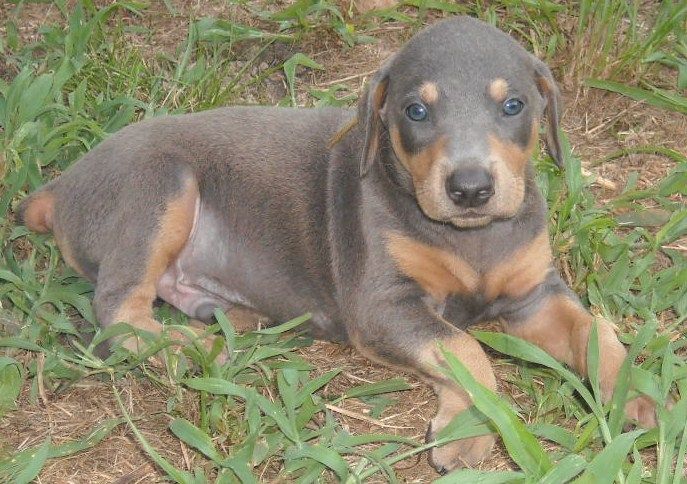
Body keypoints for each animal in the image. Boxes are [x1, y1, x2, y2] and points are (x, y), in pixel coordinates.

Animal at [20, 16, 656, 472]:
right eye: (416, 111)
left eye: (514, 105)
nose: (471, 188)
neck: (470, 238)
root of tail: (58, 185)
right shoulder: (383, 306)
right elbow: (464, 349)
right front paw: (467, 433)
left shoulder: (533, 295)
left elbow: (594, 328)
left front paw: (636, 392)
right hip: (160, 185)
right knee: (116, 309)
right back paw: (188, 347)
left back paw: (229, 319)